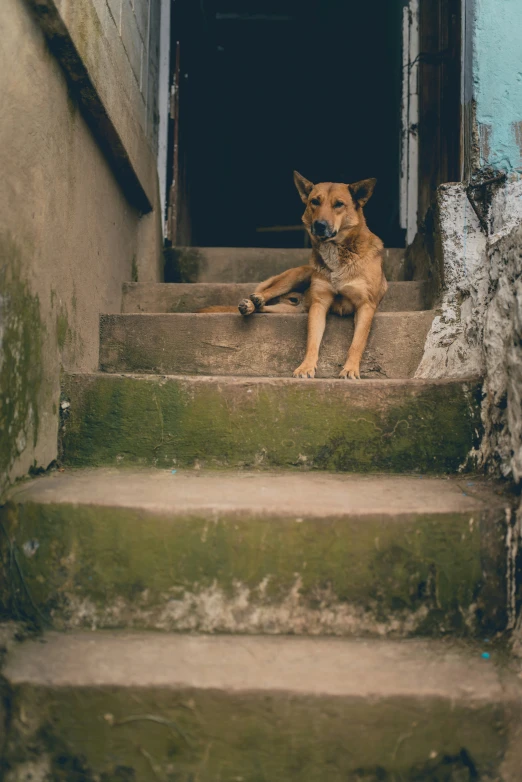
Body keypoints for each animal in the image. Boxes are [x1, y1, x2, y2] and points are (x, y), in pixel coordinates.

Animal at [238, 172, 384, 380]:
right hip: (294, 278)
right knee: (268, 292)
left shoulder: (366, 305)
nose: (319, 225)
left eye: (339, 204)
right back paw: (253, 301)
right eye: (315, 201)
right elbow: (312, 342)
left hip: (290, 309)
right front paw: (306, 367)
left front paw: (350, 369)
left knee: (267, 308)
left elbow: (357, 343)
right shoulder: (319, 305)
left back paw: (254, 305)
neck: (337, 252)